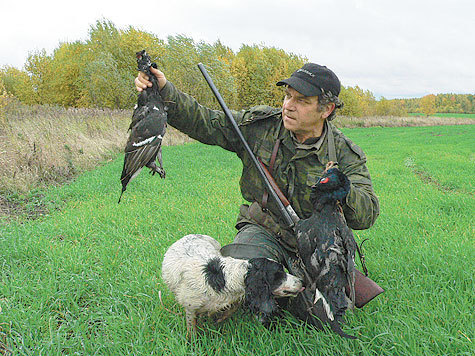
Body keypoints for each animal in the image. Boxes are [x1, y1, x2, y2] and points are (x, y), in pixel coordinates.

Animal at [163, 234, 304, 334]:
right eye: (279, 272)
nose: (302, 281)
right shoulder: (190, 308)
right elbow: (192, 331)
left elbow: (230, 309)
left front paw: (218, 319)